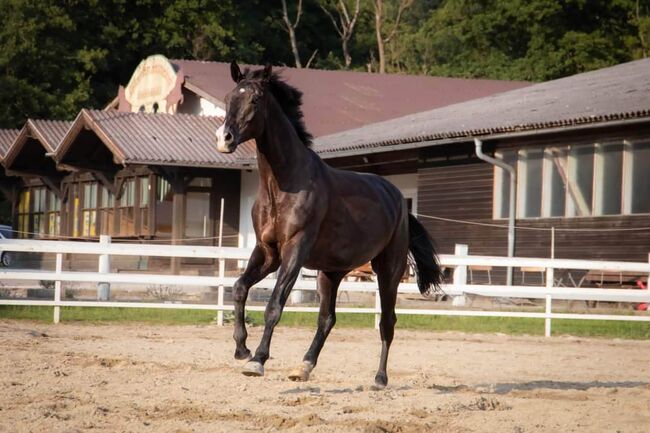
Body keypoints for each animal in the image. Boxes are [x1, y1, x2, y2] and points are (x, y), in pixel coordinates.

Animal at [214, 61, 440, 388]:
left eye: (254, 100)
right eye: (229, 97)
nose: (224, 139)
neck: (285, 183)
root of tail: (397, 198)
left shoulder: (294, 251)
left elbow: (274, 305)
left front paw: (257, 360)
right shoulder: (268, 251)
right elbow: (240, 287)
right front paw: (241, 349)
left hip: (389, 270)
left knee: (387, 321)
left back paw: (380, 378)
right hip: (331, 273)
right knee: (327, 319)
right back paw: (303, 367)